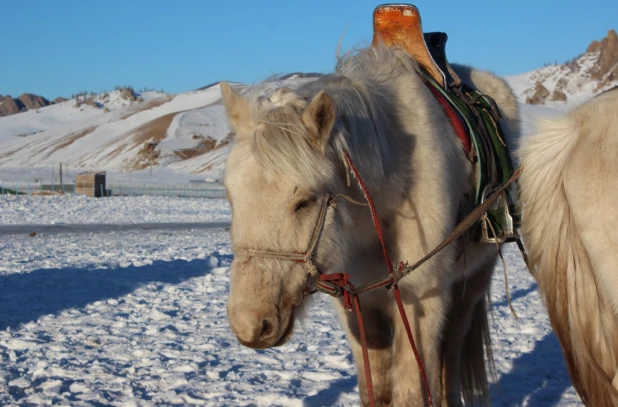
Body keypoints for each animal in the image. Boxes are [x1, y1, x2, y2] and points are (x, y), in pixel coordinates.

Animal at [219, 43, 516, 406]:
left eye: (305, 201)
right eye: (230, 197)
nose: (250, 326)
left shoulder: (422, 302)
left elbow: (411, 392)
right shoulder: (358, 306)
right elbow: (377, 389)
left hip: (471, 284)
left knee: (451, 354)